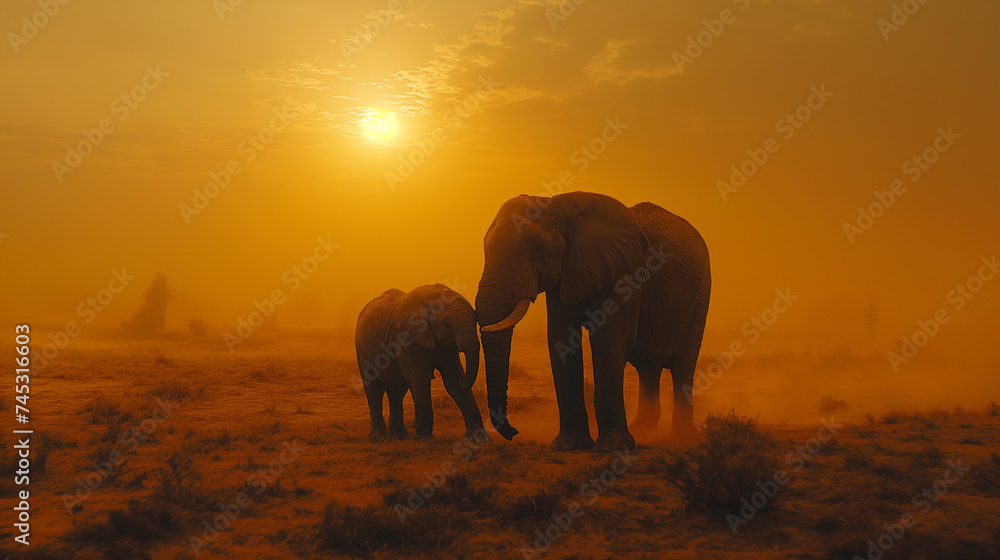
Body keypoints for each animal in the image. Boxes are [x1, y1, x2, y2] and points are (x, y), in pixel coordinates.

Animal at [355, 284, 484, 441]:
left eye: (475, 321)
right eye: (447, 325)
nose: (464, 381)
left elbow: (452, 380)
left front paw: (479, 439)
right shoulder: (405, 337)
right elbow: (420, 379)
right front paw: (425, 439)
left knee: (397, 390)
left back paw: (400, 436)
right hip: (361, 346)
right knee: (374, 388)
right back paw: (378, 438)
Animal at [475, 191, 711, 451]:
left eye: (538, 249)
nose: (513, 432)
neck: (559, 205)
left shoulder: (624, 272)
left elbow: (607, 342)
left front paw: (612, 447)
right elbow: (560, 340)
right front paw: (569, 446)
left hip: (700, 295)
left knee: (683, 365)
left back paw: (682, 438)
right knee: (648, 369)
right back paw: (644, 430)